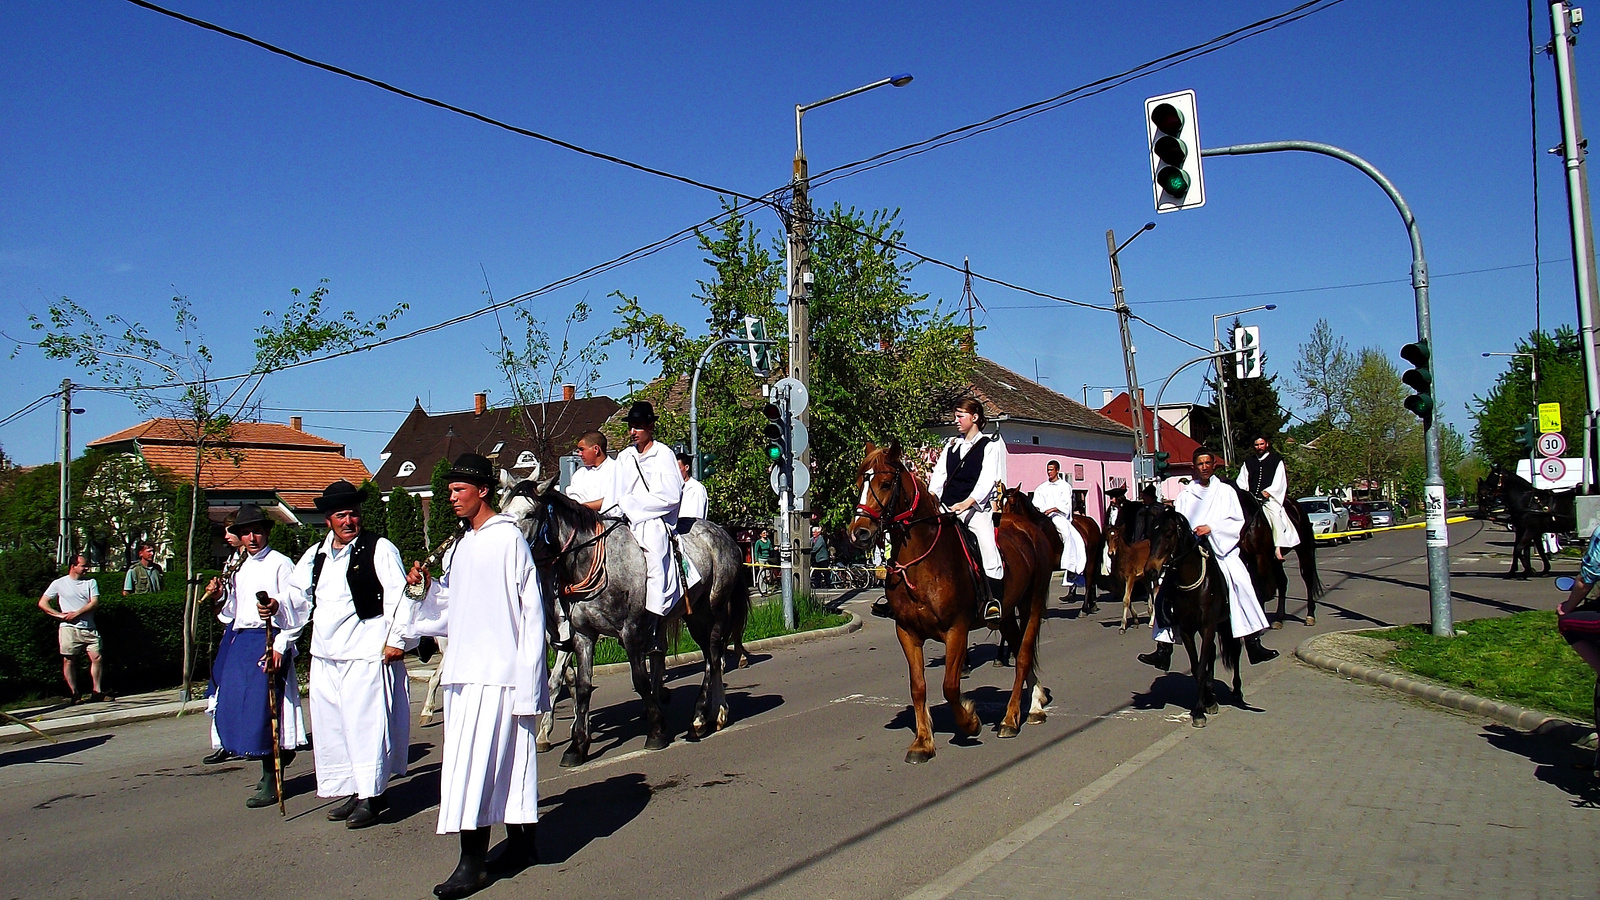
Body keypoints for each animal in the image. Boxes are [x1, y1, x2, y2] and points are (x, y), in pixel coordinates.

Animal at [499, 470, 748, 762]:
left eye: (529, 513)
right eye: (502, 509)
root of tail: (724, 535)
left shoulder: (631, 631)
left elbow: (639, 680)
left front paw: (656, 730)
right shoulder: (582, 635)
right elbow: (582, 686)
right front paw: (577, 744)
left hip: (713, 611)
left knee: (713, 656)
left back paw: (703, 717)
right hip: (694, 615)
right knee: (710, 656)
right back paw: (711, 714)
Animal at [844, 438, 1056, 759]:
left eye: (885, 483)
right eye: (859, 483)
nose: (859, 533)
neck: (922, 562)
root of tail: (1028, 527)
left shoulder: (956, 630)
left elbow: (950, 686)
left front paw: (970, 722)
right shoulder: (907, 632)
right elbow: (918, 686)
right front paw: (922, 742)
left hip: (1030, 605)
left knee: (1022, 656)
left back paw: (1010, 719)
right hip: (1006, 614)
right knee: (1022, 649)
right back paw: (1034, 703)